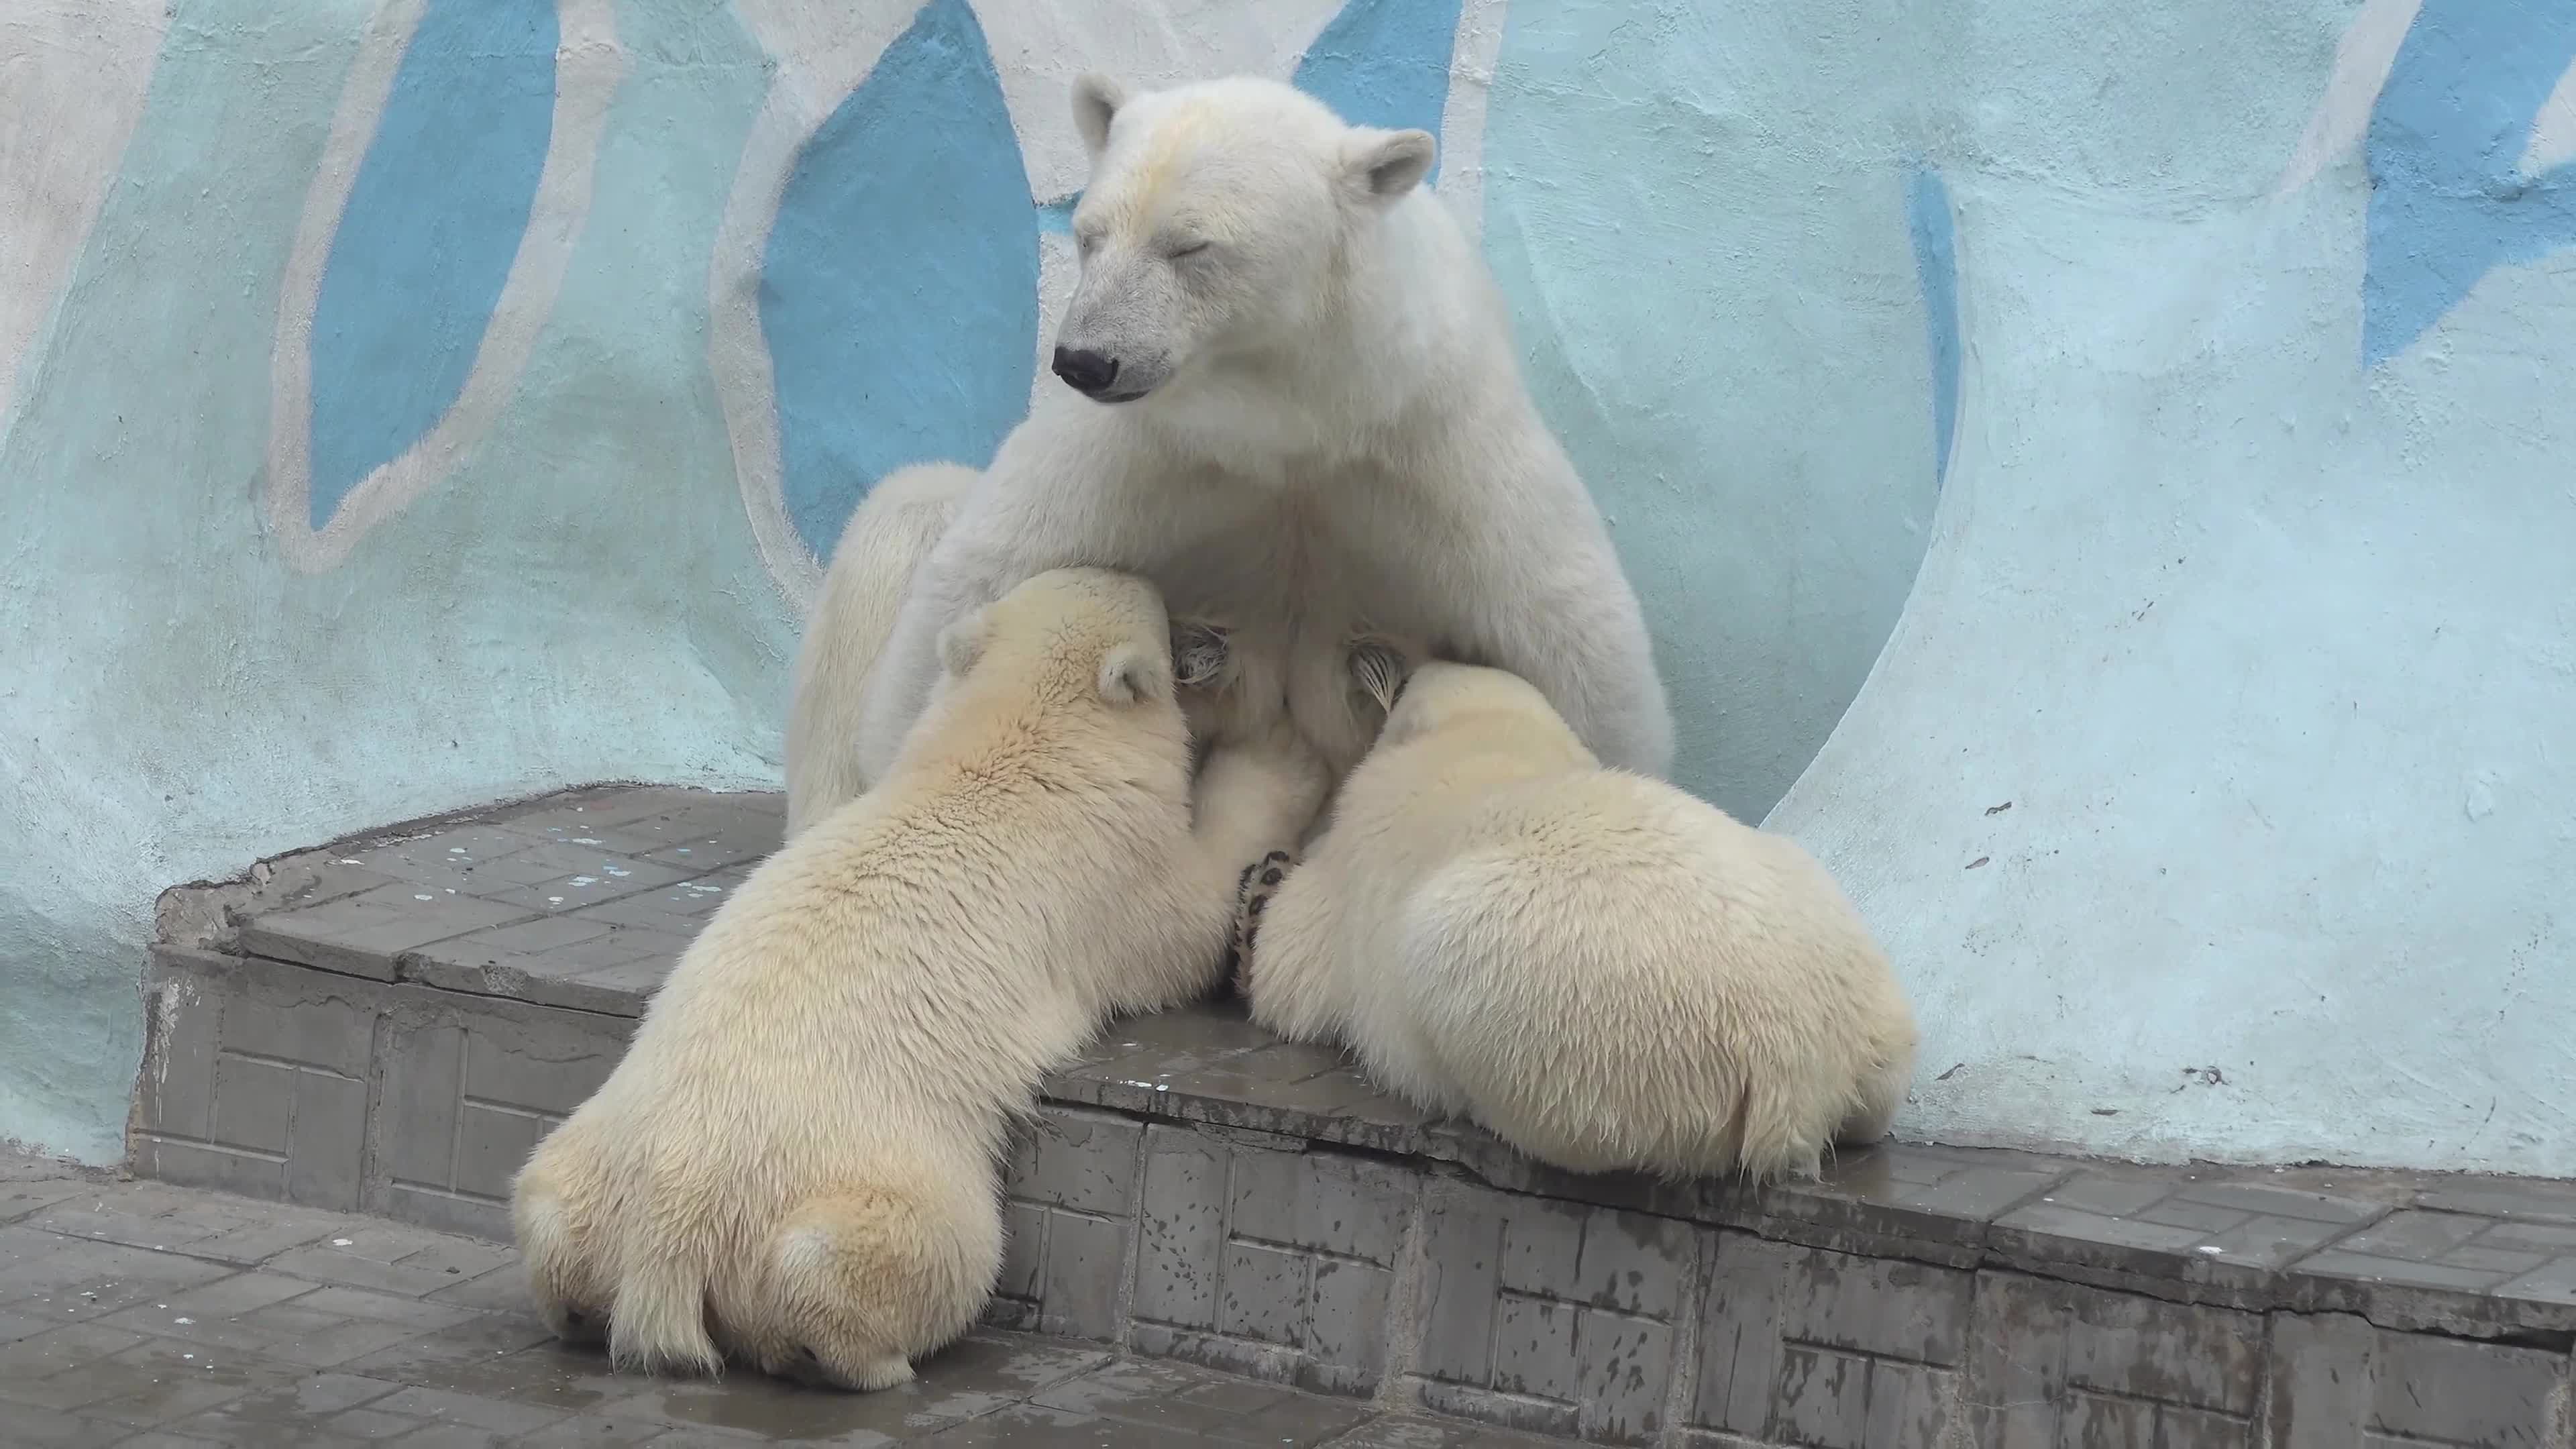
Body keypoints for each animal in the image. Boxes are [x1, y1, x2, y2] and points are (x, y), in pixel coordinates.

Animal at [788, 73, 1669, 830]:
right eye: (1089, 235)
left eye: (1189, 246)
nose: (1084, 361)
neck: (1288, 421)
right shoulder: (1145, 454)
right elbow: (969, 593)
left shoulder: (1428, 440)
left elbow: (1579, 645)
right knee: (908, 508)